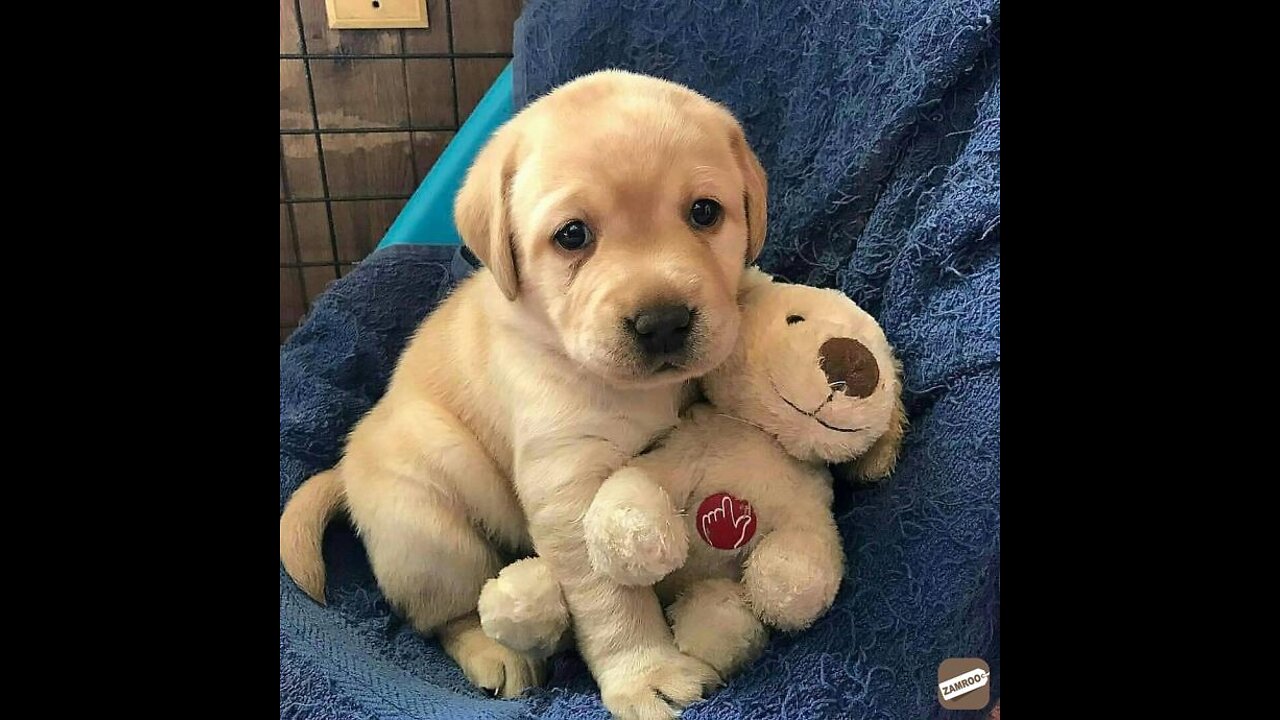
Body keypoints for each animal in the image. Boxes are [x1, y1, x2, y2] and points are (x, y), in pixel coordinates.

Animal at [281, 68, 768, 717]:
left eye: (705, 212)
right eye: (572, 235)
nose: (663, 322)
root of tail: (344, 470)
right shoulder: (569, 480)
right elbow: (613, 598)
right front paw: (647, 672)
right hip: (432, 531)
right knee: (447, 616)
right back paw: (495, 654)